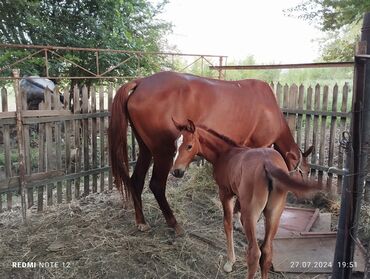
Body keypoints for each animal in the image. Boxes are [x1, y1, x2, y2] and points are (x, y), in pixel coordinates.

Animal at [109, 71, 312, 236]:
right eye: (306, 171)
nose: (308, 199)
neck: (269, 108)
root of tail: (142, 82)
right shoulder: (259, 147)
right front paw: (239, 219)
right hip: (163, 153)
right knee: (157, 185)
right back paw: (174, 223)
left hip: (146, 149)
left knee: (136, 180)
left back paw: (141, 221)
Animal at [171, 120, 320, 279]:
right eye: (175, 144)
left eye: (189, 146)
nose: (176, 171)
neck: (225, 153)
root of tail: (268, 164)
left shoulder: (225, 193)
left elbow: (227, 224)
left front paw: (230, 262)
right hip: (275, 213)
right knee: (267, 251)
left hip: (251, 213)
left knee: (254, 253)